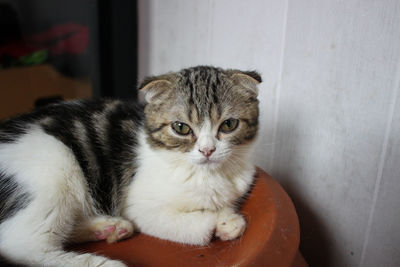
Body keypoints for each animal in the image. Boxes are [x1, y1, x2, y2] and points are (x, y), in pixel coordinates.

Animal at [0, 66, 262, 266]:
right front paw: (219, 221)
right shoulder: (138, 206)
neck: (206, 175)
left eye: (229, 124)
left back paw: (108, 227)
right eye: (181, 127)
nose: (207, 150)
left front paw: (227, 218)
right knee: (22, 245)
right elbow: (190, 225)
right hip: (55, 166)